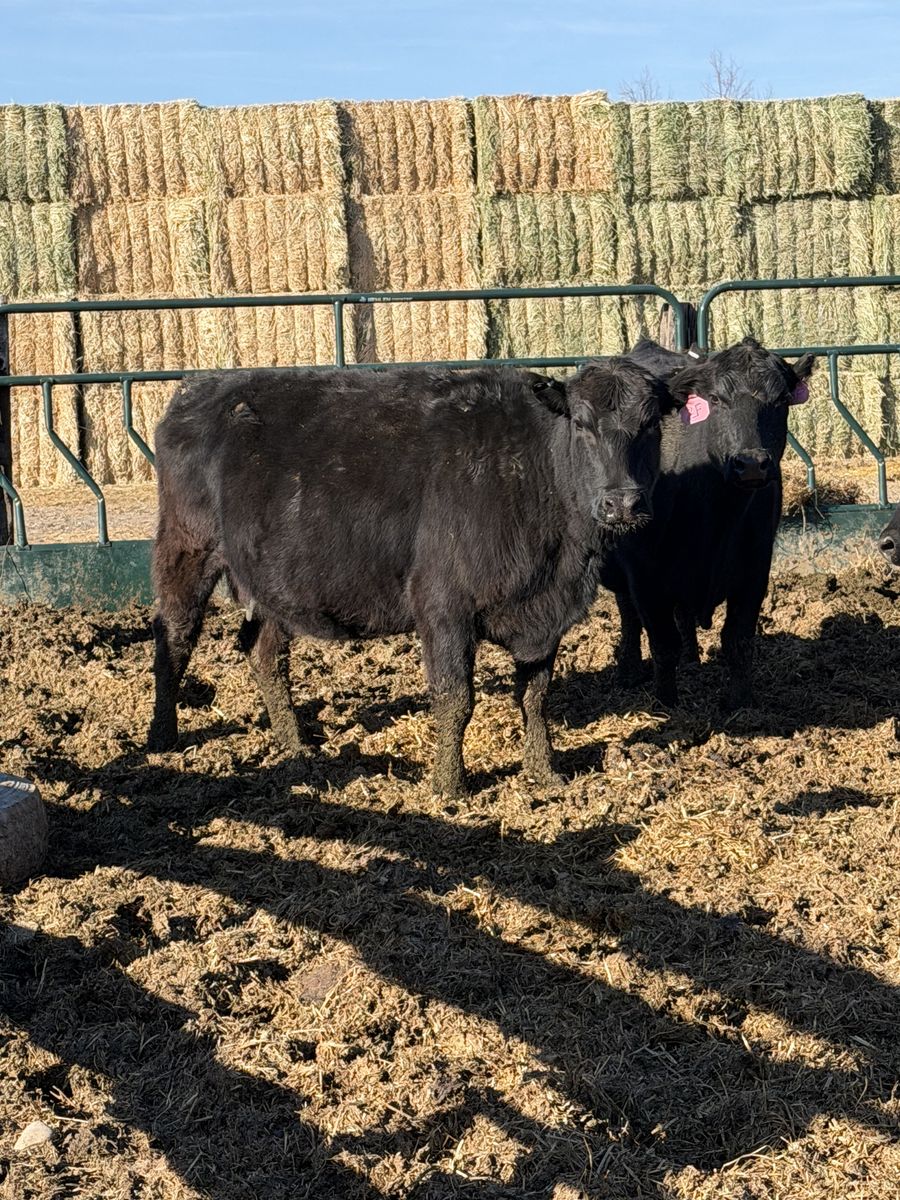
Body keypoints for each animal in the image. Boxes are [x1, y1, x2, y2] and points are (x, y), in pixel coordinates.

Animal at [147, 361, 675, 797]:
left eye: (650, 425)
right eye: (582, 425)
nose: (622, 502)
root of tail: (200, 389)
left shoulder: (545, 617)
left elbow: (535, 695)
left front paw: (544, 771)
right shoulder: (443, 606)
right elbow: (455, 699)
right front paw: (449, 785)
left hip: (276, 582)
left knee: (264, 653)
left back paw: (294, 744)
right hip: (187, 547)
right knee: (174, 636)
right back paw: (162, 738)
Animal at [600, 336, 815, 711]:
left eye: (780, 400)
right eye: (715, 399)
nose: (752, 463)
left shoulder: (755, 568)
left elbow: (738, 639)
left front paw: (741, 702)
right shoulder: (643, 575)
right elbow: (661, 642)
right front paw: (666, 702)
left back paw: (692, 658)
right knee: (629, 616)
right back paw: (630, 671)